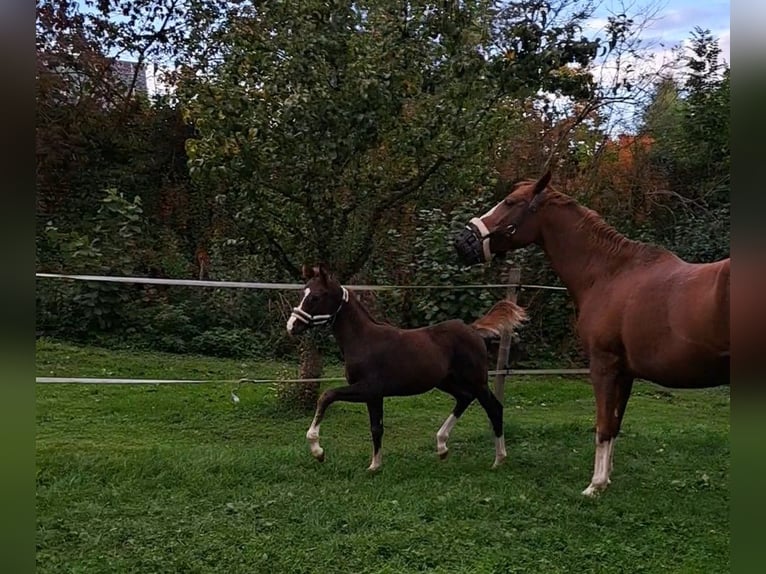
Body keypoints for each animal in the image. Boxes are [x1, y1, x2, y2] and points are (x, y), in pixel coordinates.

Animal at [288, 266, 528, 472]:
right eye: (302, 293)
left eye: (315, 297)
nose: (291, 326)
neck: (362, 340)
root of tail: (473, 329)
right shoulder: (374, 395)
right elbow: (376, 427)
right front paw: (375, 466)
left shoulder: (368, 388)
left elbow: (327, 396)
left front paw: (318, 451)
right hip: (446, 382)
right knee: (464, 398)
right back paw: (442, 447)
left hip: (477, 381)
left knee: (494, 408)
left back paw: (498, 460)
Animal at [456, 170, 732, 496]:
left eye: (510, 202)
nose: (462, 241)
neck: (607, 275)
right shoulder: (625, 374)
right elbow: (614, 426)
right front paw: (606, 478)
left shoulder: (603, 366)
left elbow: (602, 426)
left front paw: (595, 485)